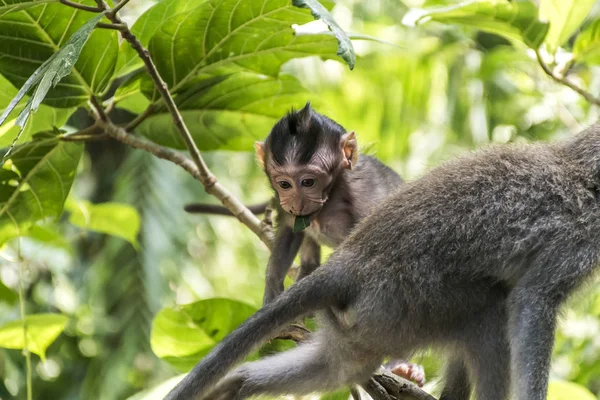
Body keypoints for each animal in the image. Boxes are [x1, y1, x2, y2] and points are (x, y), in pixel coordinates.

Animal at [166, 122, 600, 400]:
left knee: (338, 367)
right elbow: (533, 302)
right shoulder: (579, 236)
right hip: (402, 303)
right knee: (490, 314)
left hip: (363, 323)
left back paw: (237, 384)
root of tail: (346, 265)